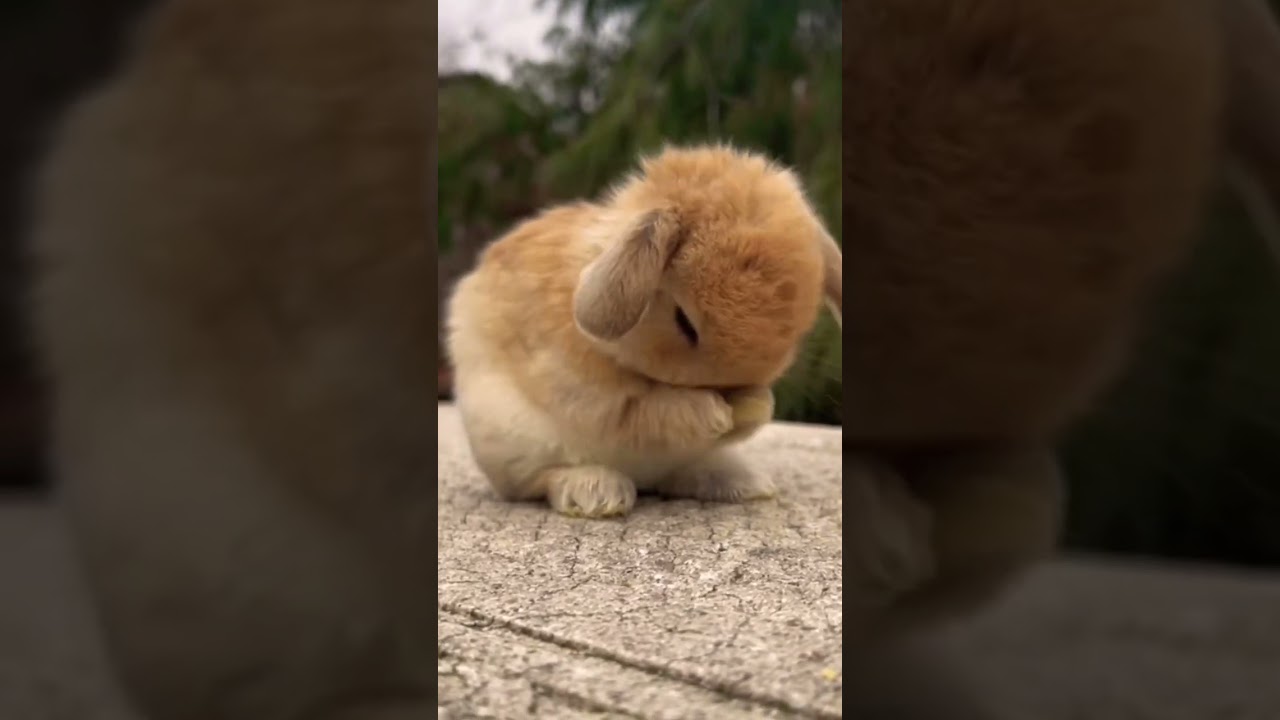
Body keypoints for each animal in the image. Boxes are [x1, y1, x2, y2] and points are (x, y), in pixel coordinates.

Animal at [446, 144, 843, 519]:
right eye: (684, 322)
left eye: (797, 333)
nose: (734, 389)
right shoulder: (597, 396)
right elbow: (650, 409)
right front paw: (715, 413)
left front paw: (756, 405)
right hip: (513, 443)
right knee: (543, 480)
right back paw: (596, 494)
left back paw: (744, 483)